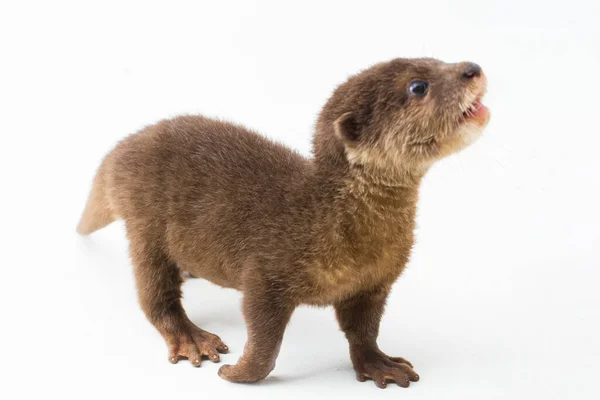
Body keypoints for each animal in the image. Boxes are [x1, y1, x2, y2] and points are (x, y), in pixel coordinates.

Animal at [77, 57, 488, 390]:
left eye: (438, 59)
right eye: (418, 86)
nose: (472, 68)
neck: (332, 221)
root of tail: (121, 152)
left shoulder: (374, 284)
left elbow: (364, 329)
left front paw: (379, 363)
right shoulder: (267, 273)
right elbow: (264, 338)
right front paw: (237, 373)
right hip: (145, 222)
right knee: (154, 294)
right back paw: (191, 338)